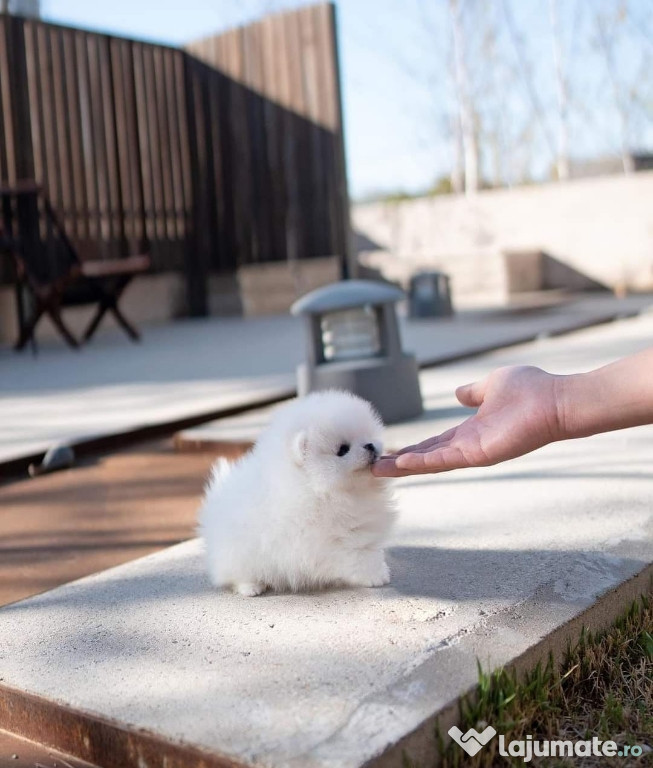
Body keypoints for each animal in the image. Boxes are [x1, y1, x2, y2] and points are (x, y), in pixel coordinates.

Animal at [196, 390, 394, 592]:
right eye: (342, 449)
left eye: (367, 435)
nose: (370, 445)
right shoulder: (322, 543)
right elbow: (354, 556)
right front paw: (374, 576)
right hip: (238, 554)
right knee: (238, 575)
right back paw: (251, 587)